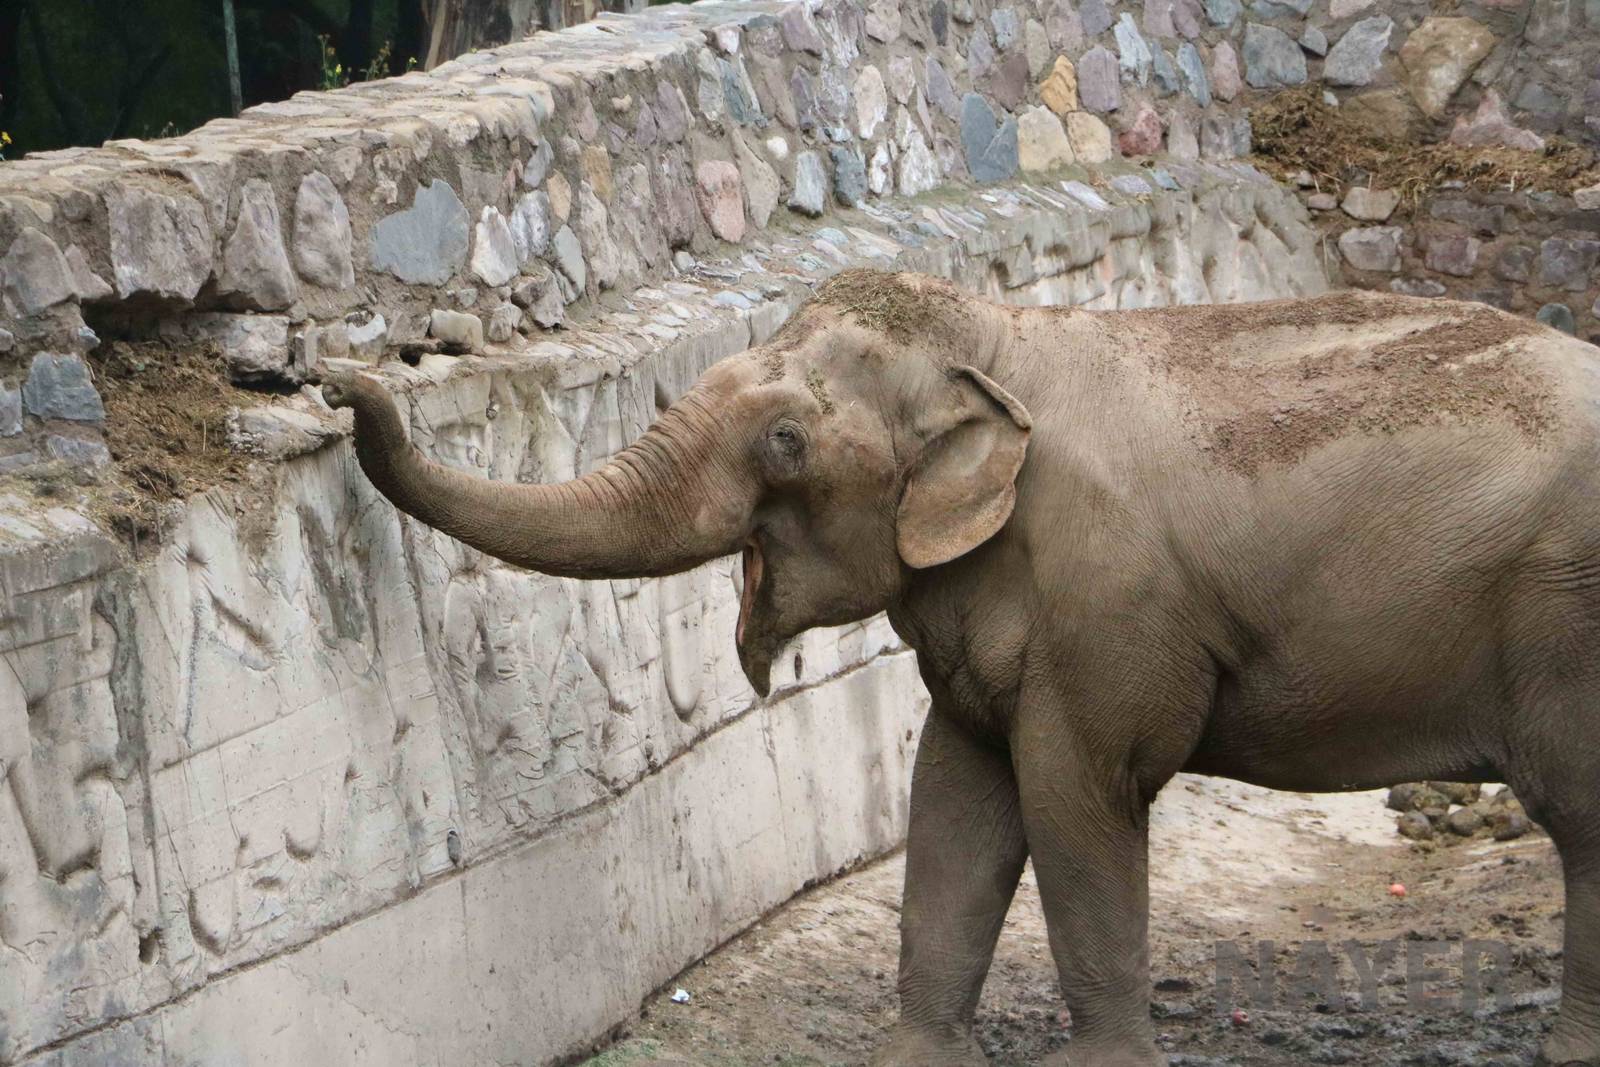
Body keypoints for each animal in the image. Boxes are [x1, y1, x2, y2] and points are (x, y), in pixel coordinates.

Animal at [322, 269, 1600, 1067]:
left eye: (785, 440)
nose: (343, 375)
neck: (994, 338)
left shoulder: (1106, 606)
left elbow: (1077, 794)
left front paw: (1103, 1063)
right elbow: (954, 796)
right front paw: (911, 1054)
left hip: (1562, 609)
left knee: (1579, 813)